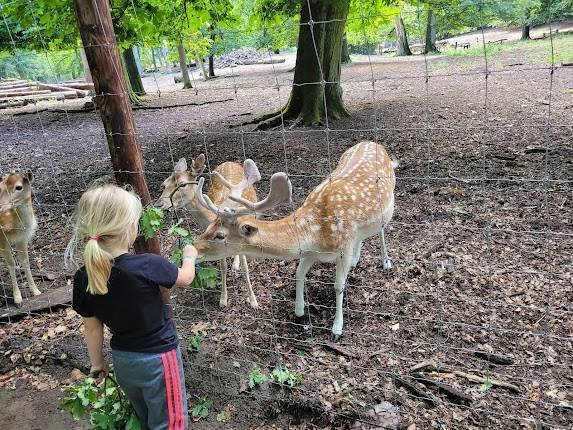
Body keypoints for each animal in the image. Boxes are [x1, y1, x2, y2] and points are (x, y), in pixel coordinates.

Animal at [0, 171, 41, 306]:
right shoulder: (2, 239)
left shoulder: (22, 239)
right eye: (1, 187)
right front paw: (17, 298)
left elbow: (25, 261)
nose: (0, 207)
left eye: (19, 187)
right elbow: (11, 263)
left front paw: (36, 291)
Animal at [159, 155, 262, 310]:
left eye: (182, 184)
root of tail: (230, 162)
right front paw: (223, 299)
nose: (159, 204)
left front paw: (253, 301)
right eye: (164, 184)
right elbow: (223, 267)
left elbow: (245, 268)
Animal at [192, 141, 398, 340]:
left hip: (388, 205)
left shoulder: (343, 248)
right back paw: (356, 260)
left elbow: (339, 286)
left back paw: (386, 262)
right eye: (208, 227)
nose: (194, 248)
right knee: (362, 236)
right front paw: (299, 311)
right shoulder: (309, 252)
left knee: (381, 230)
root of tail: (373, 142)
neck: (317, 234)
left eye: (220, 235)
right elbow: (298, 273)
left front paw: (337, 329)